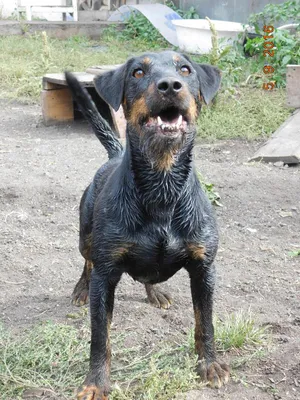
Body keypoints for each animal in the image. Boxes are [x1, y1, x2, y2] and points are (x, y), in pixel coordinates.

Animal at [65, 50, 230, 400]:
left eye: (186, 69)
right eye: (138, 72)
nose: (169, 85)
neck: (162, 185)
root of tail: (116, 153)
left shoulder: (204, 269)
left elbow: (205, 322)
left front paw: (209, 364)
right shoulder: (106, 274)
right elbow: (100, 337)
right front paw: (95, 382)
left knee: (149, 273)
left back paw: (155, 292)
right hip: (86, 236)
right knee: (87, 261)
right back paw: (81, 288)